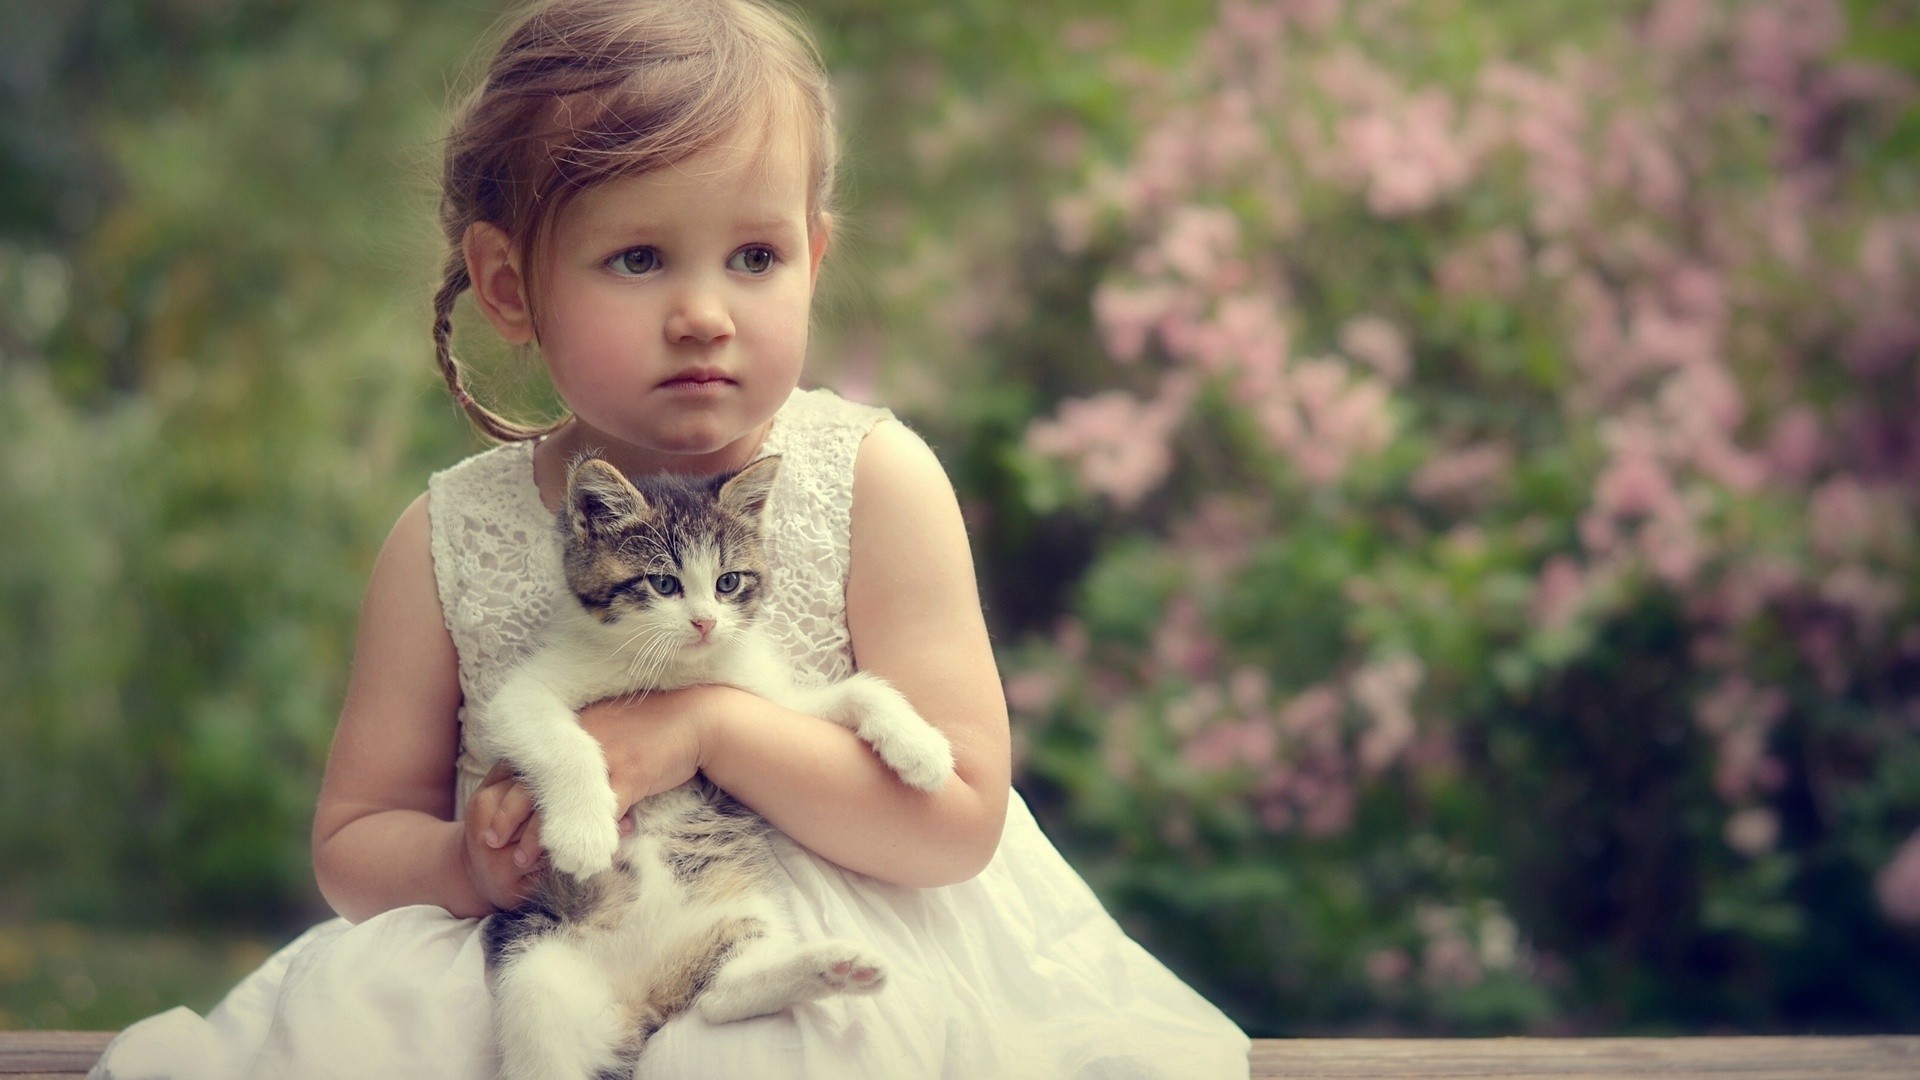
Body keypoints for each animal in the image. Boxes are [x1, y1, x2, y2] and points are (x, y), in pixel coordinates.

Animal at [472, 451, 952, 1076]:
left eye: (728, 582)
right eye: (663, 583)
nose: (705, 623)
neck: (677, 667)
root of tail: (645, 993)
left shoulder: (768, 706)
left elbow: (857, 690)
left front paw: (922, 750)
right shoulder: (521, 695)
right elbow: (564, 741)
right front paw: (582, 834)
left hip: (741, 908)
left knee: (722, 997)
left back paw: (830, 966)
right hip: (533, 963)